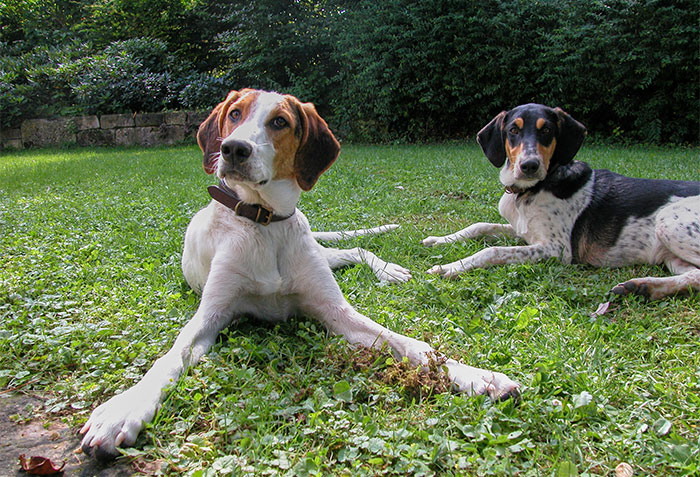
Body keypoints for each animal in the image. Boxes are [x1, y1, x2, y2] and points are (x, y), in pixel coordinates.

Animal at [80, 89, 520, 458]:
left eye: (279, 122)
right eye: (235, 114)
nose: (233, 148)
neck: (265, 223)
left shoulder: (338, 312)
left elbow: (412, 344)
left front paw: (477, 376)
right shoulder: (211, 316)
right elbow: (168, 359)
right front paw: (122, 410)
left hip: (321, 255)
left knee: (353, 248)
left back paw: (388, 269)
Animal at [424, 102, 700, 300]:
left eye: (547, 130)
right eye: (513, 130)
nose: (529, 165)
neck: (531, 190)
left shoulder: (557, 249)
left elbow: (492, 251)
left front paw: (450, 267)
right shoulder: (521, 230)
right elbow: (479, 226)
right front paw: (439, 240)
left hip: (667, 221)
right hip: (671, 256)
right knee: (695, 278)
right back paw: (643, 288)